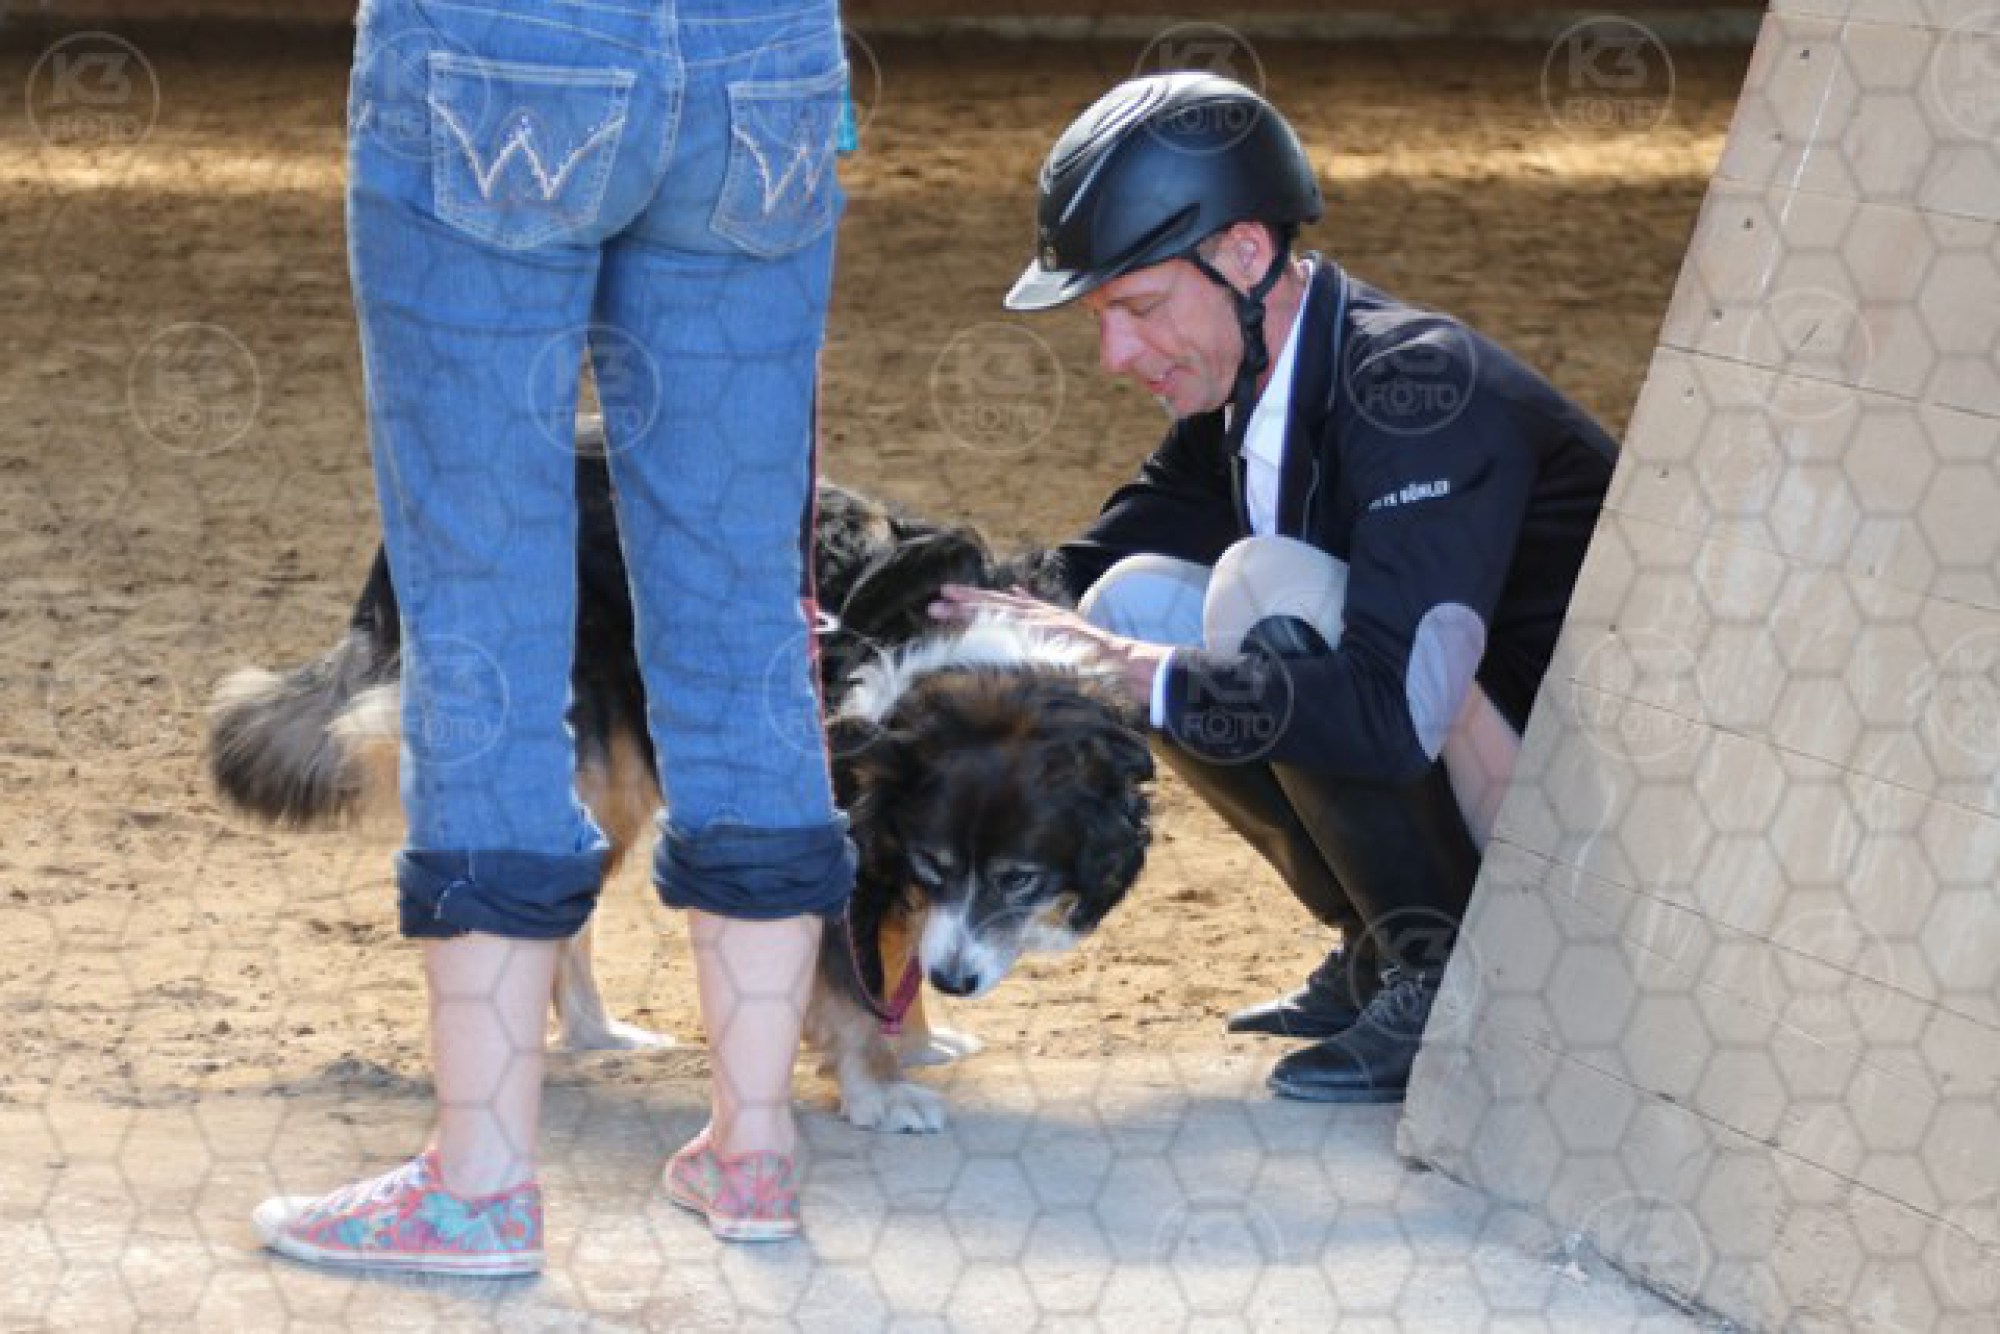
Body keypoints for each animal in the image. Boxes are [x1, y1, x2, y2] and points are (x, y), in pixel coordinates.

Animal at [207, 417, 1152, 1132]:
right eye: (940, 864)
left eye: (1020, 877)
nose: (961, 981)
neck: (952, 659)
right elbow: (852, 973)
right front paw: (878, 1085)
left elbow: (893, 948)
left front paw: (913, 1033)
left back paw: (593, 1033)